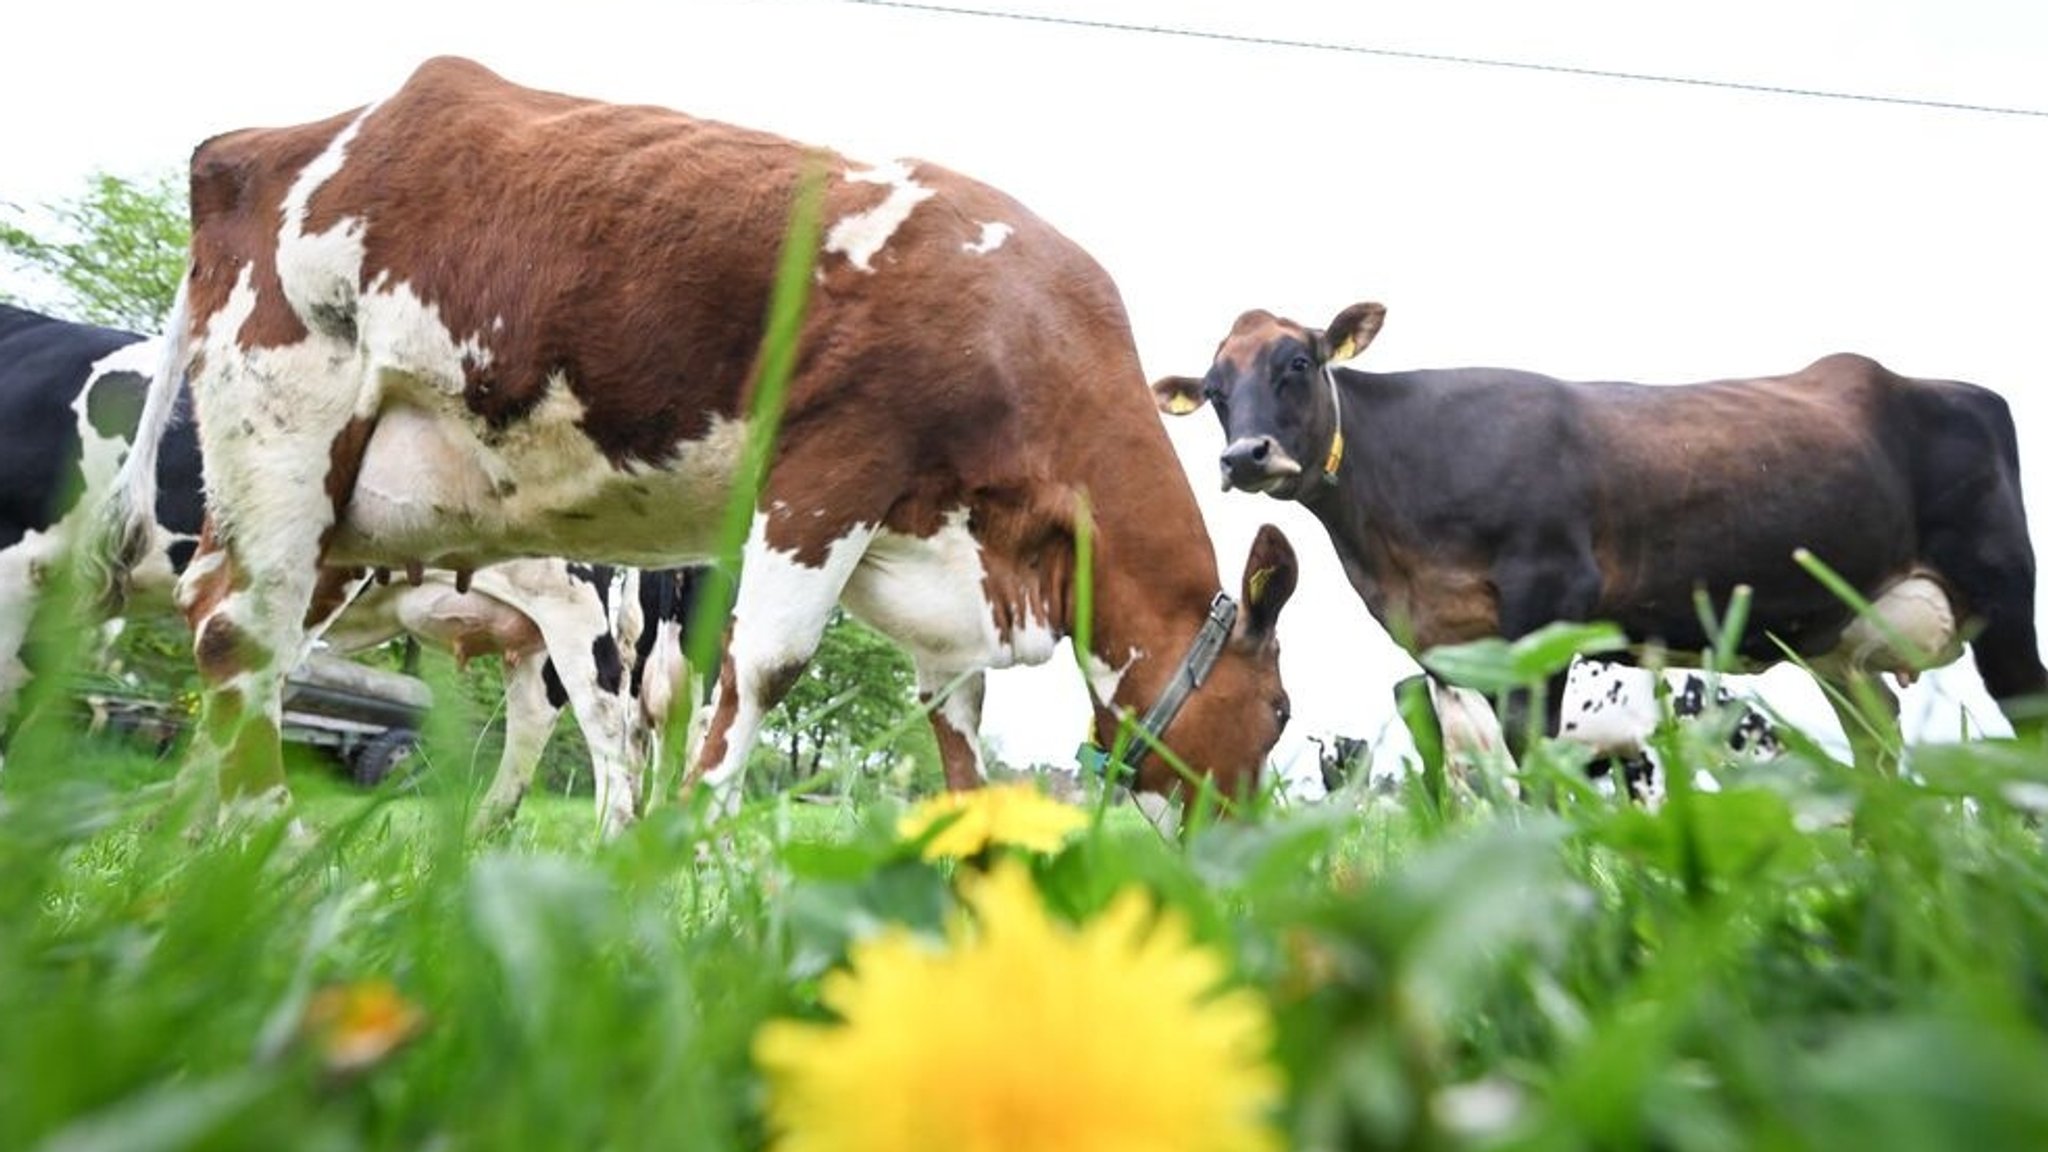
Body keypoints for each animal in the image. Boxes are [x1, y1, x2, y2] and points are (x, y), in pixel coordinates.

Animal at [92, 58, 1294, 819]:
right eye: (1278, 714)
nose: (1232, 858)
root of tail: (253, 144)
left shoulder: (942, 567)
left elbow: (958, 737)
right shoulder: (830, 471)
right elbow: (762, 676)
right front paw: (686, 854)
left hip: (350, 508)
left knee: (257, 642)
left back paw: (187, 848)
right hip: (285, 418)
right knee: (235, 632)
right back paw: (266, 836)